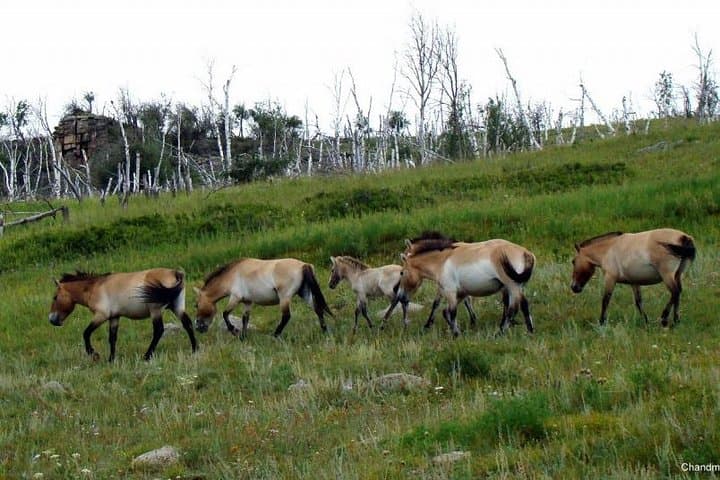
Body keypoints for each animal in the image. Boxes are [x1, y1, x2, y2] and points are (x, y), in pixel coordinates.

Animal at [48, 269, 198, 362]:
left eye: (55, 297)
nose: (52, 319)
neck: (94, 287)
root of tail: (175, 273)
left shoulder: (101, 316)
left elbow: (86, 333)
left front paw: (94, 354)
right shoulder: (114, 317)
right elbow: (112, 338)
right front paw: (111, 359)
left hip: (155, 311)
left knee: (159, 330)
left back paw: (147, 356)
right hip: (177, 307)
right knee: (188, 324)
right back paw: (195, 349)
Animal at [194, 258, 332, 338]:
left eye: (196, 305)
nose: (198, 327)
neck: (232, 275)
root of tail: (304, 265)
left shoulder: (235, 297)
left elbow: (225, 314)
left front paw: (234, 331)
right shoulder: (247, 302)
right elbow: (245, 319)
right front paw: (243, 336)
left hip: (285, 298)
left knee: (286, 316)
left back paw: (275, 335)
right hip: (304, 293)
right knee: (318, 309)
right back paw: (325, 331)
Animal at [329, 255, 476, 331]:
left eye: (332, 269)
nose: (330, 285)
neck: (357, 275)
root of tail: (402, 270)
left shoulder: (362, 295)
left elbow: (363, 311)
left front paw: (371, 326)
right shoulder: (360, 297)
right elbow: (357, 311)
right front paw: (354, 329)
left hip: (389, 291)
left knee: (397, 302)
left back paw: (389, 323)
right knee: (404, 301)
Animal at [386, 233, 536, 336]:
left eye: (401, 273)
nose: (399, 294)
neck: (442, 260)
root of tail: (526, 253)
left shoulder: (450, 292)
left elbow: (449, 311)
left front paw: (454, 334)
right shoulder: (459, 292)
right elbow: (447, 310)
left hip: (512, 287)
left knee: (512, 309)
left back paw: (500, 333)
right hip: (517, 287)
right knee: (523, 305)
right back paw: (529, 330)